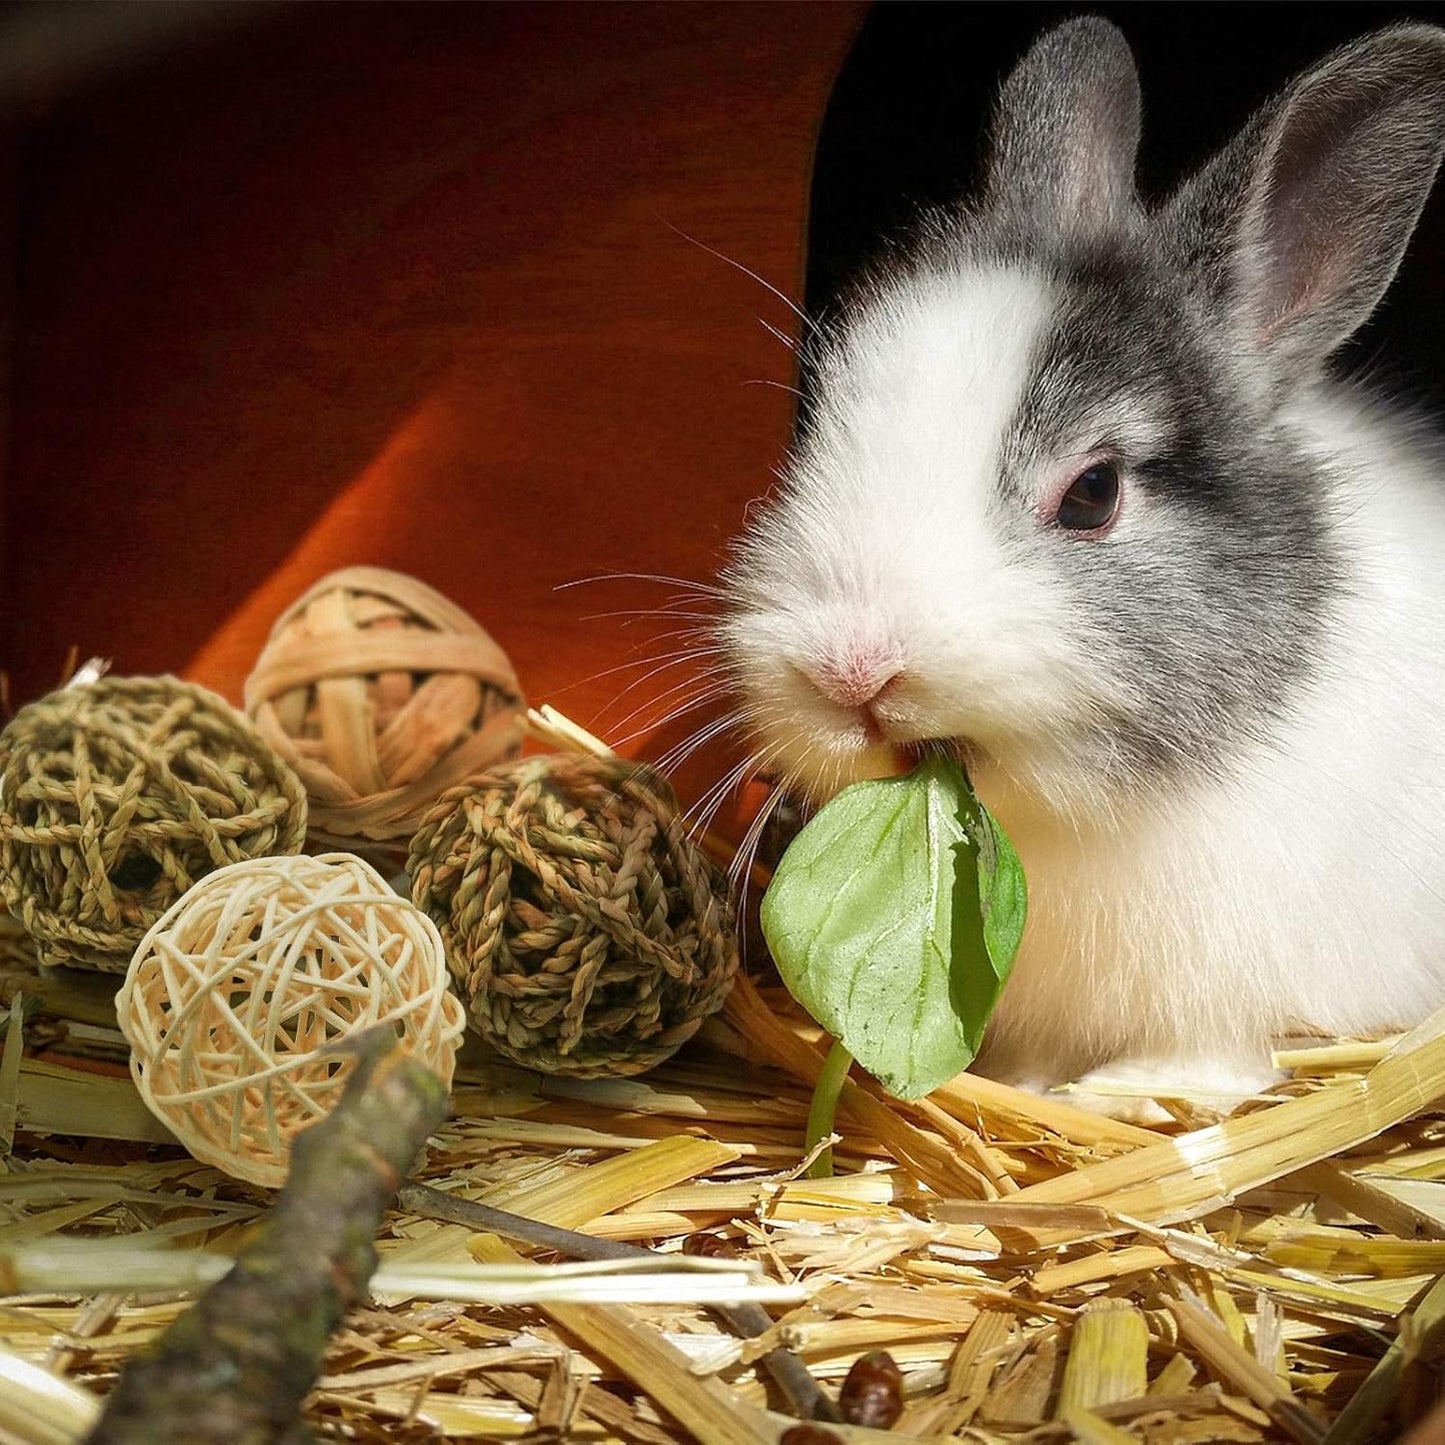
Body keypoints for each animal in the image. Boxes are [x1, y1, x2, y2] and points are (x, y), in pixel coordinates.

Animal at [718, 17, 1445, 1116]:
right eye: (820, 427)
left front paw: (1124, 1091)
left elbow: (1216, 1056)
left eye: (1093, 492)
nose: (850, 670)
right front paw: (1032, 1080)